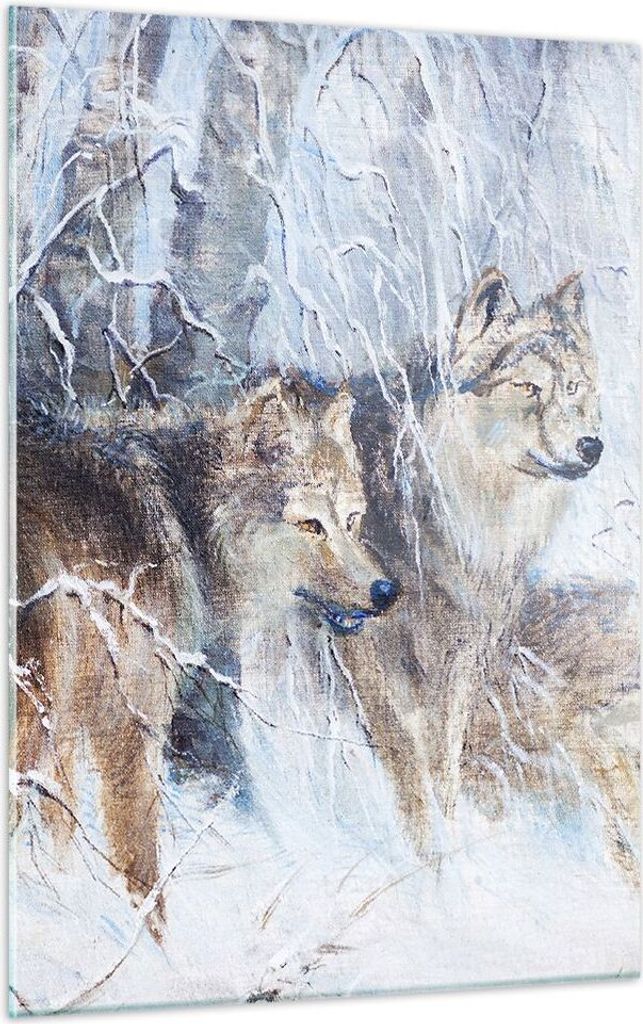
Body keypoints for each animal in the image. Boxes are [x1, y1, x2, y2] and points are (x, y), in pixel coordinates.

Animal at [13, 375, 401, 940]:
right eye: (311, 525)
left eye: (351, 521)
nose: (386, 592)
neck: (185, 521)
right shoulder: (129, 727)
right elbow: (142, 869)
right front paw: (159, 951)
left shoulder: (69, 725)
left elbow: (61, 839)